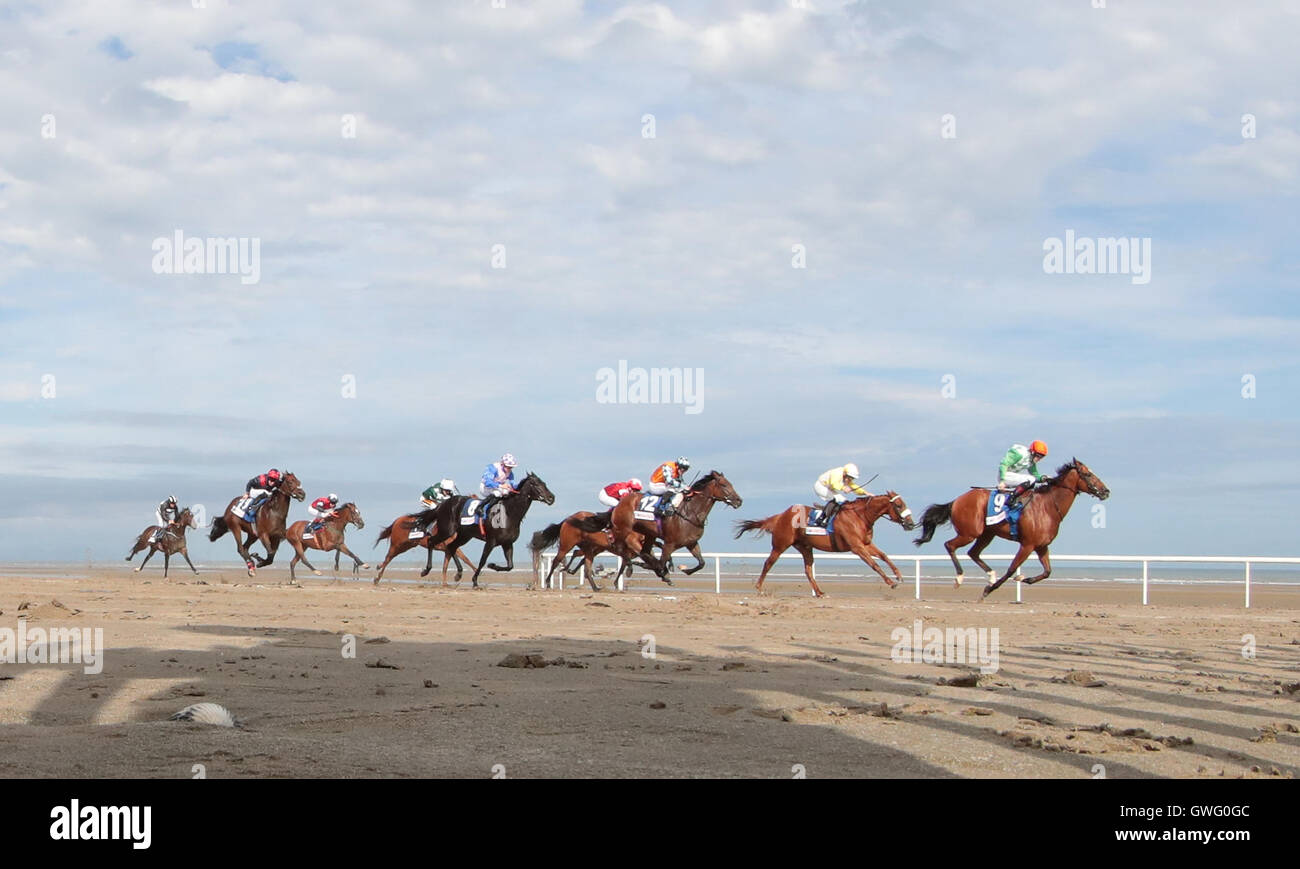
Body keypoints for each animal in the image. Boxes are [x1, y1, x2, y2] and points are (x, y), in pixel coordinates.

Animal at [577, 468, 748, 582]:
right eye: (724, 485)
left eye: (730, 484)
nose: (739, 501)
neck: (689, 512)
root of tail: (620, 505)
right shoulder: (669, 543)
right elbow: (661, 561)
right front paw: (663, 571)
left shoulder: (691, 542)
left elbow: (701, 563)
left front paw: (684, 570)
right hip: (624, 530)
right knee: (622, 549)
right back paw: (634, 566)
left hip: (648, 535)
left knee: (643, 552)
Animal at [738, 489, 920, 598]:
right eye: (899, 505)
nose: (911, 524)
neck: (860, 516)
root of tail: (781, 516)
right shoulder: (857, 547)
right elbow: (874, 564)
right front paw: (891, 582)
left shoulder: (867, 544)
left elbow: (884, 556)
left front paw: (898, 575)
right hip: (780, 545)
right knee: (768, 563)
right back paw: (759, 587)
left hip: (805, 547)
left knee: (808, 569)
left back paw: (819, 592)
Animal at [909, 460, 1112, 598]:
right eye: (1088, 475)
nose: (1106, 491)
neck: (1047, 506)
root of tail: (956, 501)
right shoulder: (1027, 545)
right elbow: (1011, 569)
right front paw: (989, 590)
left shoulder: (1041, 546)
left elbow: (1047, 571)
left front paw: (1024, 579)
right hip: (969, 532)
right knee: (950, 546)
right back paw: (960, 577)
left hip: (986, 534)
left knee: (973, 553)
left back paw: (990, 575)